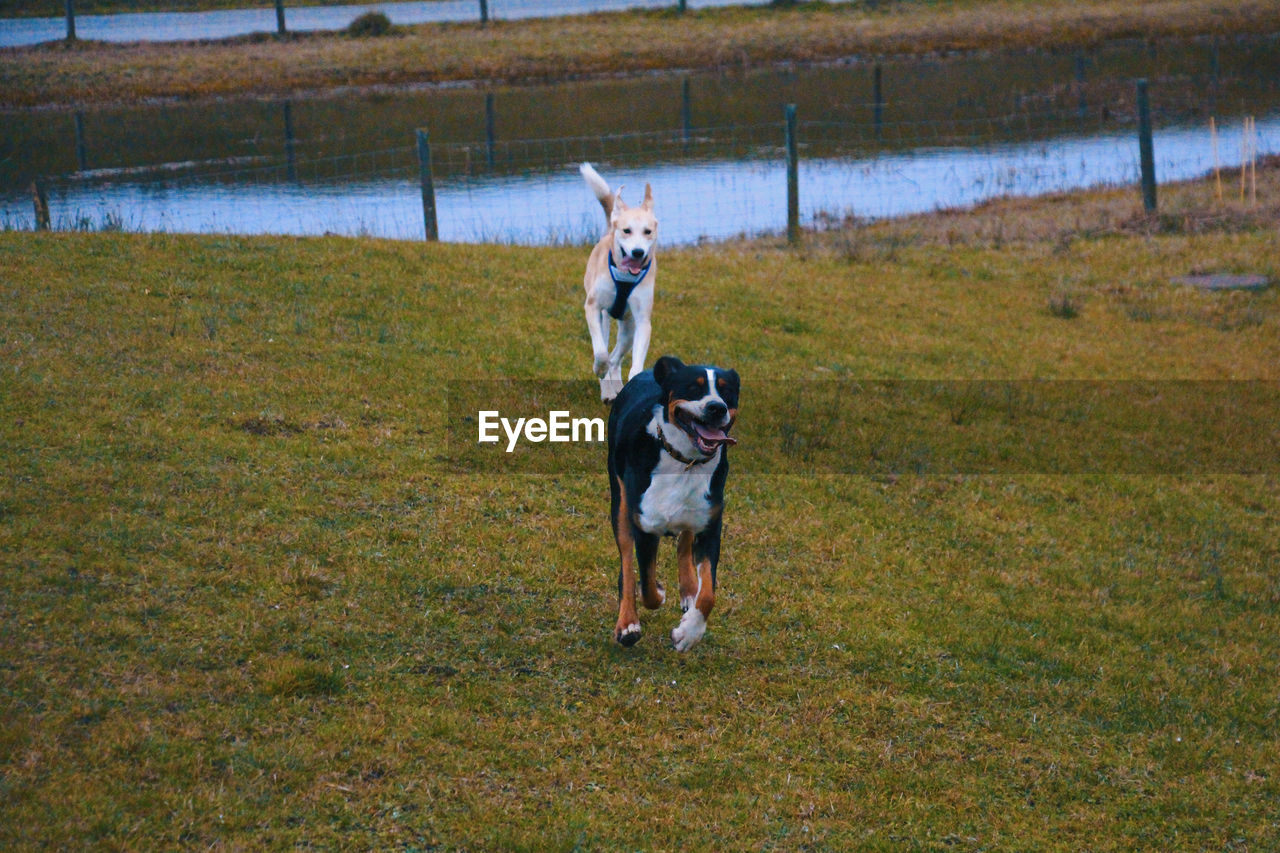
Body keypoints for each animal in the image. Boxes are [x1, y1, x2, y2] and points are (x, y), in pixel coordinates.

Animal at [581, 162, 660, 402]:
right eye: (627, 231)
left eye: (647, 231)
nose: (638, 252)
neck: (625, 276)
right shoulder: (593, 307)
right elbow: (600, 352)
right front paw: (599, 368)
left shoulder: (642, 320)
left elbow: (634, 362)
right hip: (604, 318)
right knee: (607, 351)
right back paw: (607, 388)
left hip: (628, 328)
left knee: (616, 358)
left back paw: (616, 386)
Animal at [606, 356, 742, 648]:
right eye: (693, 388)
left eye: (726, 391)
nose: (716, 408)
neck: (685, 461)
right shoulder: (644, 525)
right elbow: (647, 586)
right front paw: (657, 592)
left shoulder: (710, 525)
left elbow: (708, 593)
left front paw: (688, 633)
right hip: (620, 502)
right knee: (627, 564)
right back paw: (627, 624)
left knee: (684, 543)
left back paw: (689, 591)